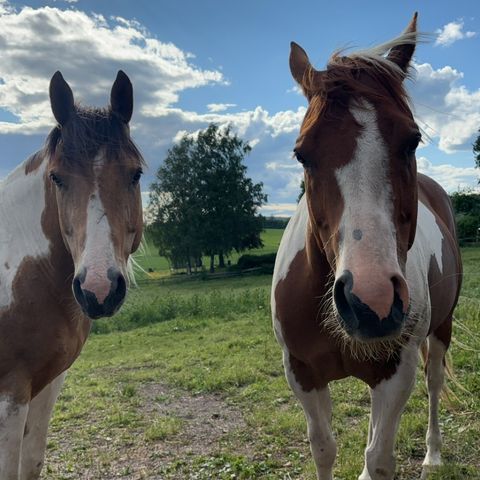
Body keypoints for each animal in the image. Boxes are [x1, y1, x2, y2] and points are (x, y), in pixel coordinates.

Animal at [0, 69, 142, 478]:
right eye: (57, 178)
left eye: (135, 175)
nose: (98, 289)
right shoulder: (10, 394)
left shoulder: (46, 385)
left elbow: (31, 462)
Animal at [274, 13, 464, 478]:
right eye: (302, 153)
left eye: (412, 140)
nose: (370, 300)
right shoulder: (301, 374)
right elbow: (324, 449)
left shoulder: (396, 372)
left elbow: (377, 459)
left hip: (441, 330)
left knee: (434, 385)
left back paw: (433, 455)